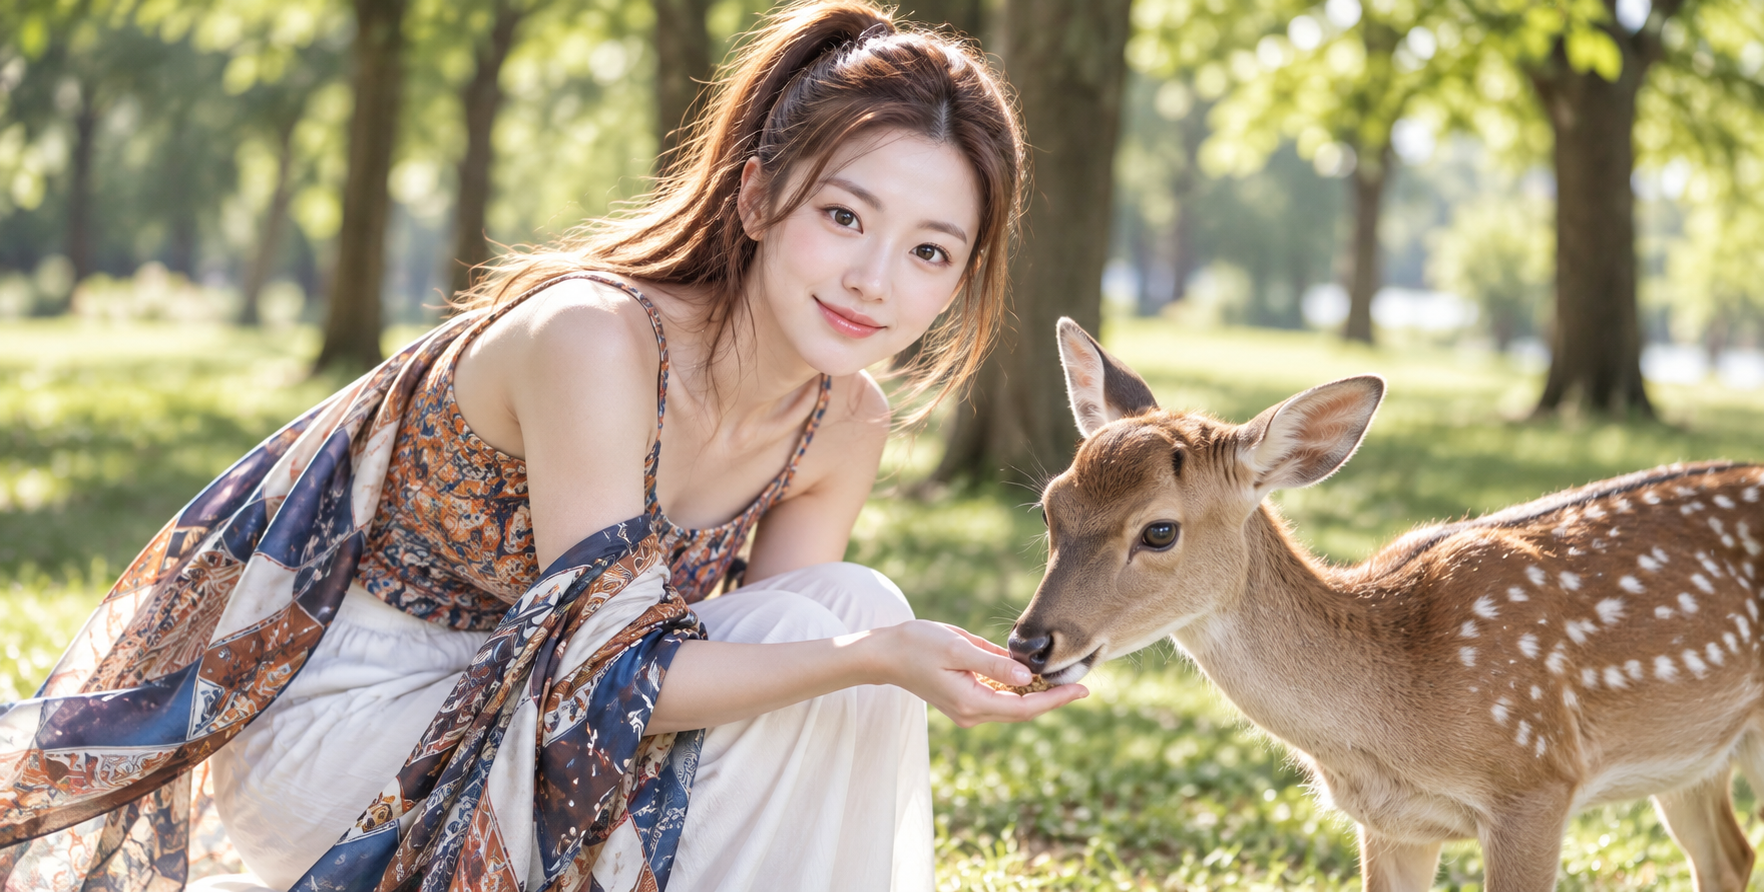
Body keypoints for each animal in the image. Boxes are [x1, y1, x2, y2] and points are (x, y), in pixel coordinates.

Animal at [1007, 318, 1764, 892]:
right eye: (1049, 507)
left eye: (1159, 530)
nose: (1030, 642)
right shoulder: (1389, 823)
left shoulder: (1537, 780)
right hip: (1691, 755)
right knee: (1729, 857)